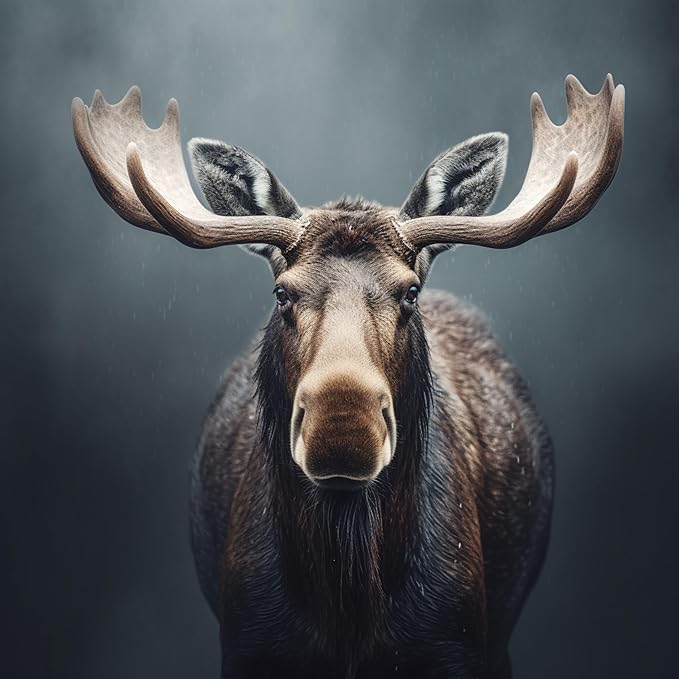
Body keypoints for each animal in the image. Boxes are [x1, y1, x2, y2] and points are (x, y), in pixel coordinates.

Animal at [72, 73, 624, 679]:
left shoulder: (454, 645)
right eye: (282, 292)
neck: (347, 601)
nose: (342, 427)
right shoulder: (248, 645)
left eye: (410, 292)